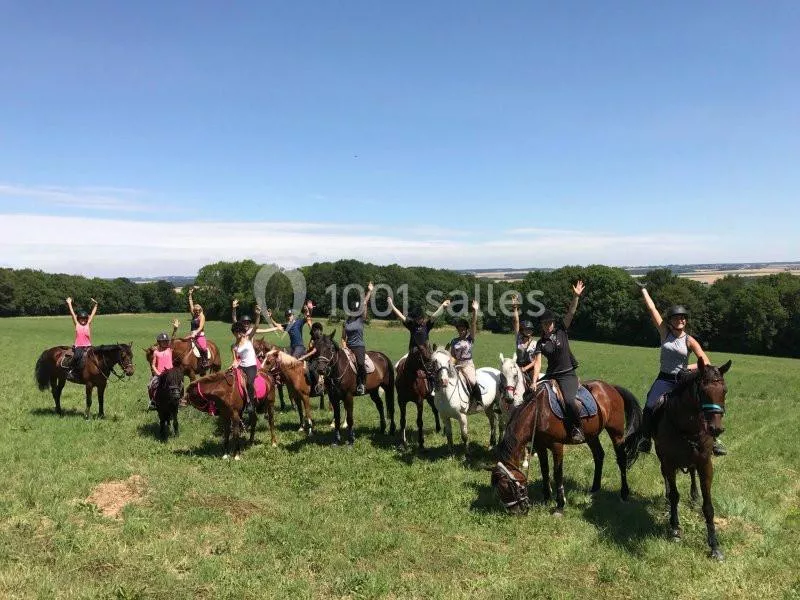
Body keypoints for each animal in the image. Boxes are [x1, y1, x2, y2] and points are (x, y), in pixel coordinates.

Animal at [491, 379, 641, 515]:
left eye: (509, 487)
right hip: (591, 435)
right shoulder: (540, 446)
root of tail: (611, 387)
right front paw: (546, 499)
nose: (514, 512)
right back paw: (594, 488)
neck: (539, 413)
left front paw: (560, 505)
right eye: (499, 491)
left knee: (621, 459)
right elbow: (544, 471)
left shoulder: (556, 446)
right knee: (599, 455)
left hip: (616, 432)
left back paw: (624, 493)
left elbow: (557, 473)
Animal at [623, 361, 731, 560]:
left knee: (692, 473)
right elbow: (674, 495)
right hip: (662, 458)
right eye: (702, 391)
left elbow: (708, 506)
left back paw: (694, 496)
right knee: (666, 478)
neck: (688, 427)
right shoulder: (669, 461)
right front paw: (674, 528)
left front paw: (714, 546)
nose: (716, 429)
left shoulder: (705, 464)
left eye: (724, 390)